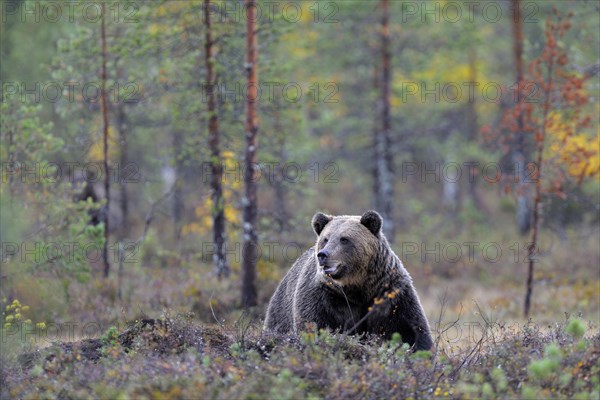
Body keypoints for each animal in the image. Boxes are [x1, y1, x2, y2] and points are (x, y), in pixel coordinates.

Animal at [262, 209, 432, 350]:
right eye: (325, 239)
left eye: (344, 239)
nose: (323, 255)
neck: (357, 287)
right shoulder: (324, 296)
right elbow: (313, 324)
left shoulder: (390, 292)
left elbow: (410, 329)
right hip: (280, 312)